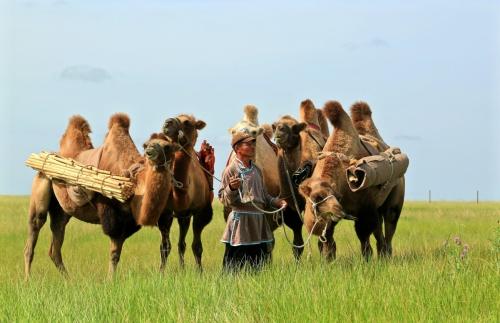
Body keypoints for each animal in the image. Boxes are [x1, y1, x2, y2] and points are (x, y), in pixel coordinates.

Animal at [25, 113, 179, 278]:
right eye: (146, 145)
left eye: (167, 146)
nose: (151, 151)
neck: (135, 186)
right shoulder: (112, 216)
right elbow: (114, 254)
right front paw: (110, 280)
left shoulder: (137, 220)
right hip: (41, 184)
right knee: (34, 231)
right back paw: (28, 280)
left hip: (61, 210)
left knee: (55, 244)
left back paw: (69, 280)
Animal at [298, 102, 404, 262]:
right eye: (316, 197)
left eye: (336, 195)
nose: (338, 209)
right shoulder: (332, 218)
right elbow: (328, 240)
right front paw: (328, 261)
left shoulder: (365, 207)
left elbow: (363, 234)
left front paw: (366, 260)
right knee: (380, 231)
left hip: (395, 195)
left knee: (390, 223)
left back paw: (386, 256)